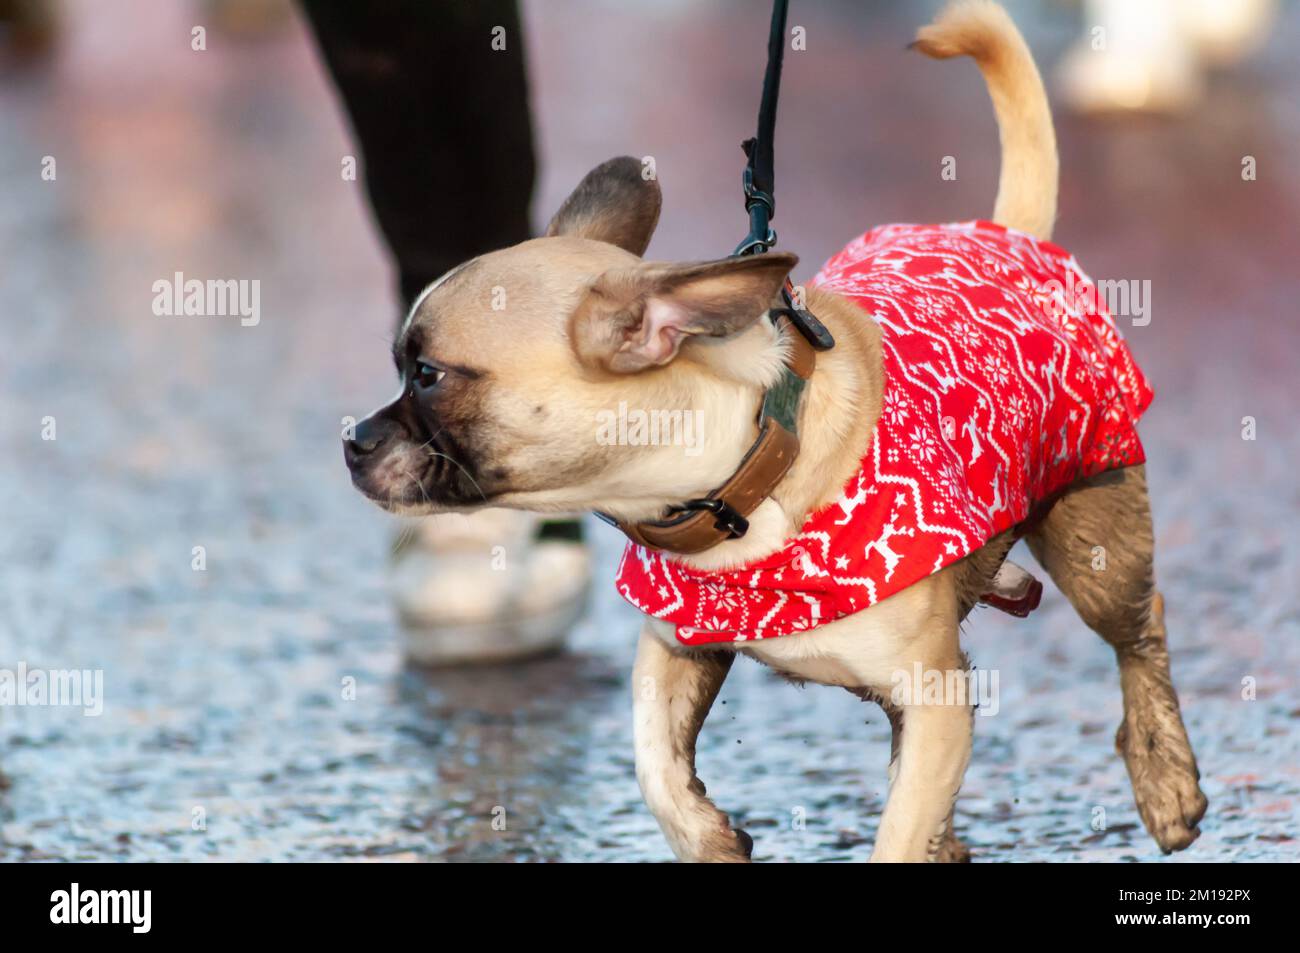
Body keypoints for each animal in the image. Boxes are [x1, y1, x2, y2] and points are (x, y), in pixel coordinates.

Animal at [345, 0, 1206, 858]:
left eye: (429, 375)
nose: (352, 440)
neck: (748, 473)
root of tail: (1009, 234)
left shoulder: (934, 700)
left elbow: (895, 832)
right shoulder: (677, 647)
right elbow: (652, 760)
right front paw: (707, 833)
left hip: (1094, 545)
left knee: (1142, 628)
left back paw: (1164, 778)